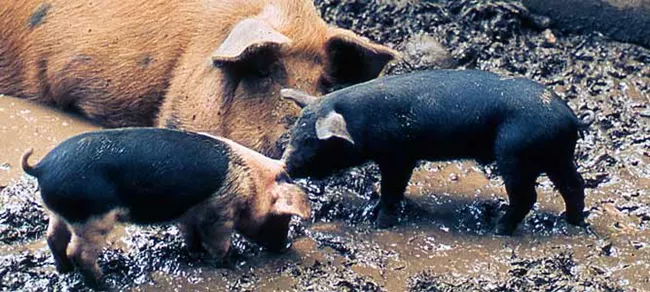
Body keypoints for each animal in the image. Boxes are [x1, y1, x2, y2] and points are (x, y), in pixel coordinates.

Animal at [20, 128, 308, 288]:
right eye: (283, 218)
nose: (285, 246)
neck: (253, 183)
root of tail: (42, 167)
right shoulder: (221, 211)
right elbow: (219, 242)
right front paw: (226, 263)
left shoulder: (190, 212)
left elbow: (190, 234)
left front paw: (194, 252)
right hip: (94, 219)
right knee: (79, 252)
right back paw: (105, 284)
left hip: (60, 213)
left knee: (53, 238)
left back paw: (64, 270)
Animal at [278, 69, 592, 236]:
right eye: (294, 132)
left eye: (311, 141)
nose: (284, 166)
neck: (361, 123)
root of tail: (570, 117)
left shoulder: (399, 155)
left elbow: (392, 188)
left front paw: (380, 224)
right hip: (557, 154)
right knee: (574, 185)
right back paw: (572, 221)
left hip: (515, 152)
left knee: (527, 196)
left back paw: (497, 228)